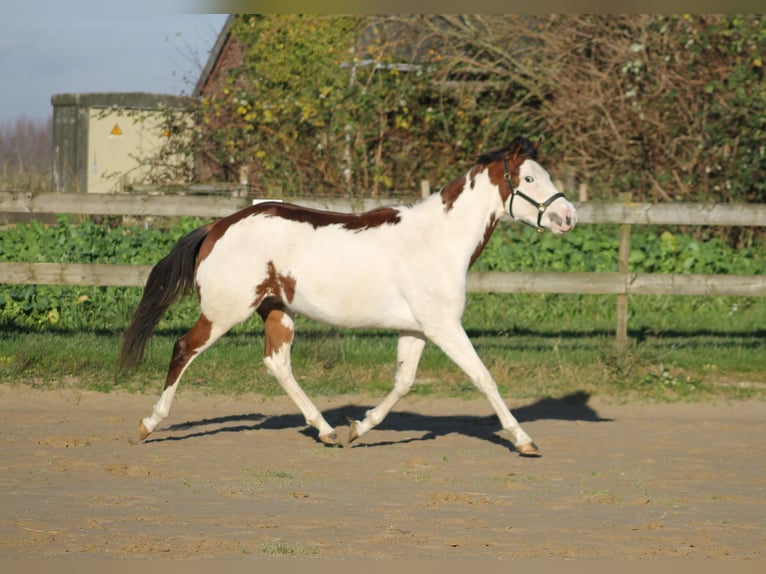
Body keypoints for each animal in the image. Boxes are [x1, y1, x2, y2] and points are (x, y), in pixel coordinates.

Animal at [118, 137, 576, 456]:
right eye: (530, 179)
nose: (568, 216)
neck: (438, 241)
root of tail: (217, 226)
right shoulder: (444, 327)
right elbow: (484, 377)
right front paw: (523, 440)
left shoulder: (418, 330)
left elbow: (403, 383)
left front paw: (359, 428)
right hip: (224, 311)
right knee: (183, 349)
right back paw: (147, 425)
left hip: (277, 311)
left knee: (277, 363)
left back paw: (326, 430)